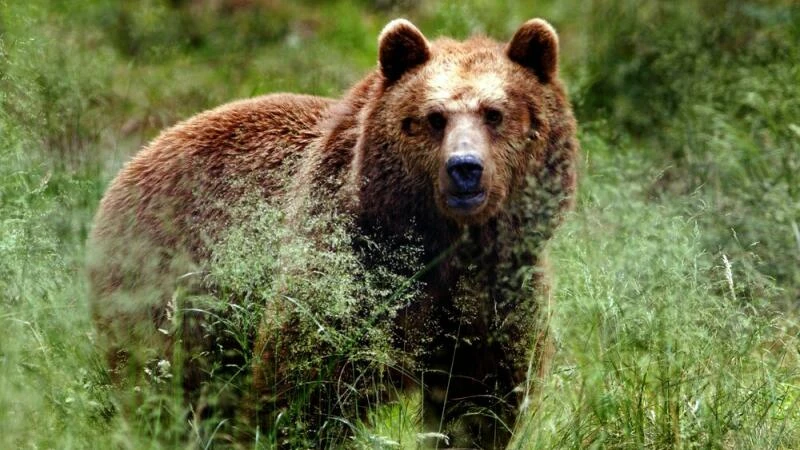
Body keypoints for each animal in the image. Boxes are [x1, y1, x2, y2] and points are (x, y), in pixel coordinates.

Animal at [86, 17, 576, 450]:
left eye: (494, 113)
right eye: (433, 117)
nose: (464, 169)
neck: (442, 246)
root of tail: (137, 159)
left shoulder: (497, 293)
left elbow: (479, 404)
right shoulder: (351, 271)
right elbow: (308, 388)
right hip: (170, 286)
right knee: (163, 384)